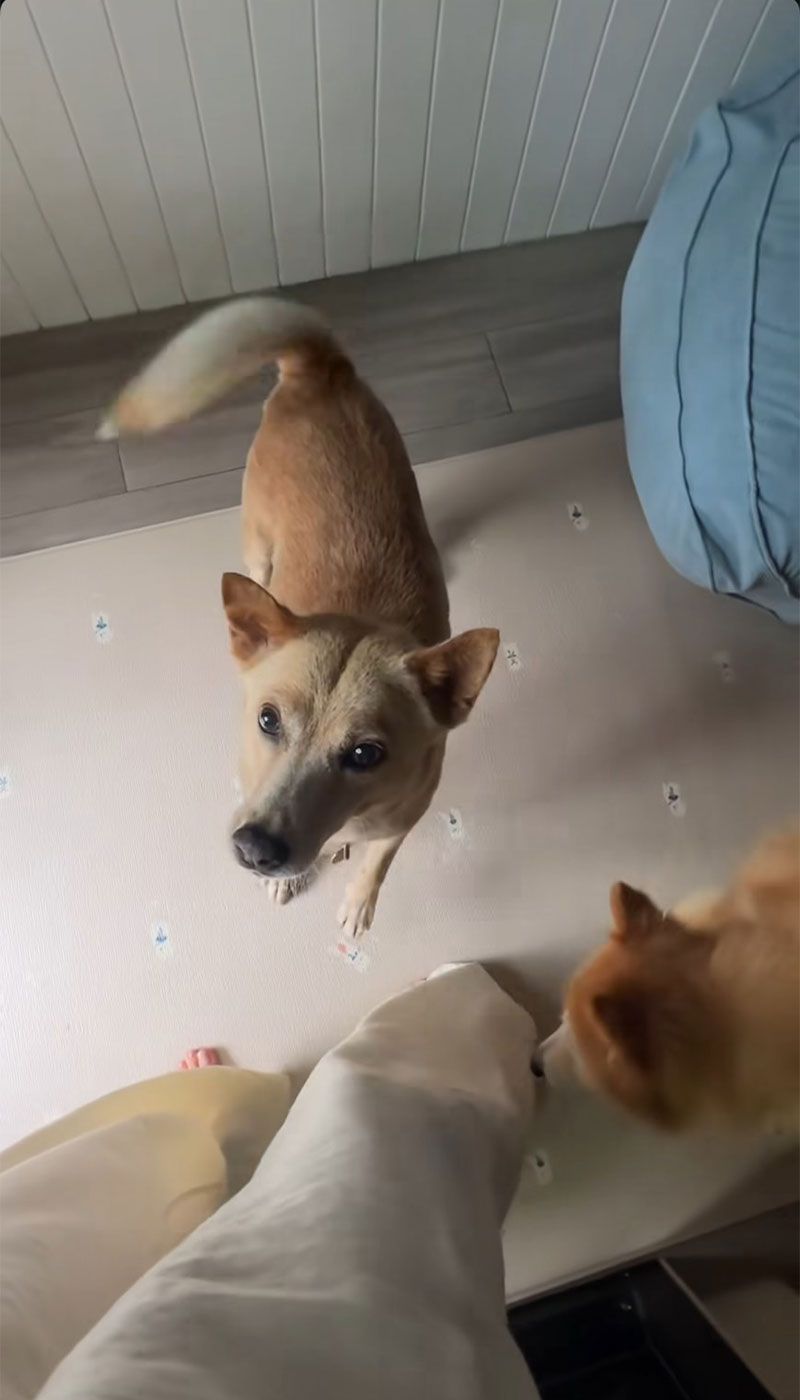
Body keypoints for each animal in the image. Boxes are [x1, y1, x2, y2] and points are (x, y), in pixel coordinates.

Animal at [100, 299, 499, 935]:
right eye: (267, 720)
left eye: (365, 754)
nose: (254, 850)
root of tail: (319, 368)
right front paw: (293, 878)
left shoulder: (405, 816)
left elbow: (378, 862)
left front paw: (358, 900)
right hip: (257, 534)